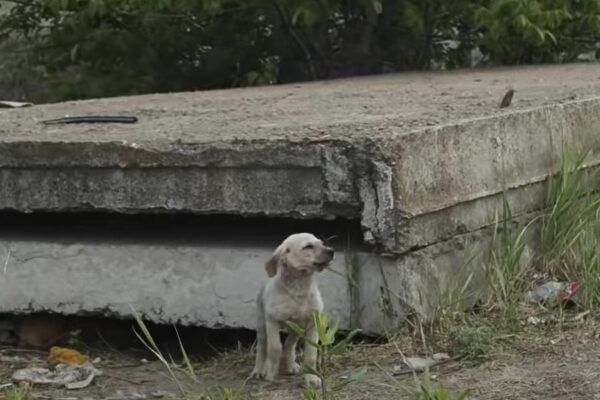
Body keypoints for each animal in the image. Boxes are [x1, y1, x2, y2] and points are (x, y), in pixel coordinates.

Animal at [247, 233, 332, 386]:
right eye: (308, 246)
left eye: (322, 243)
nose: (332, 251)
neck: (298, 289)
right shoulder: (272, 321)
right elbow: (274, 348)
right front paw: (270, 373)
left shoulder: (312, 324)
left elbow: (311, 354)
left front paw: (311, 378)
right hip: (262, 325)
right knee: (262, 348)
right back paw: (259, 369)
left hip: (296, 329)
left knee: (289, 345)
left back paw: (292, 366)